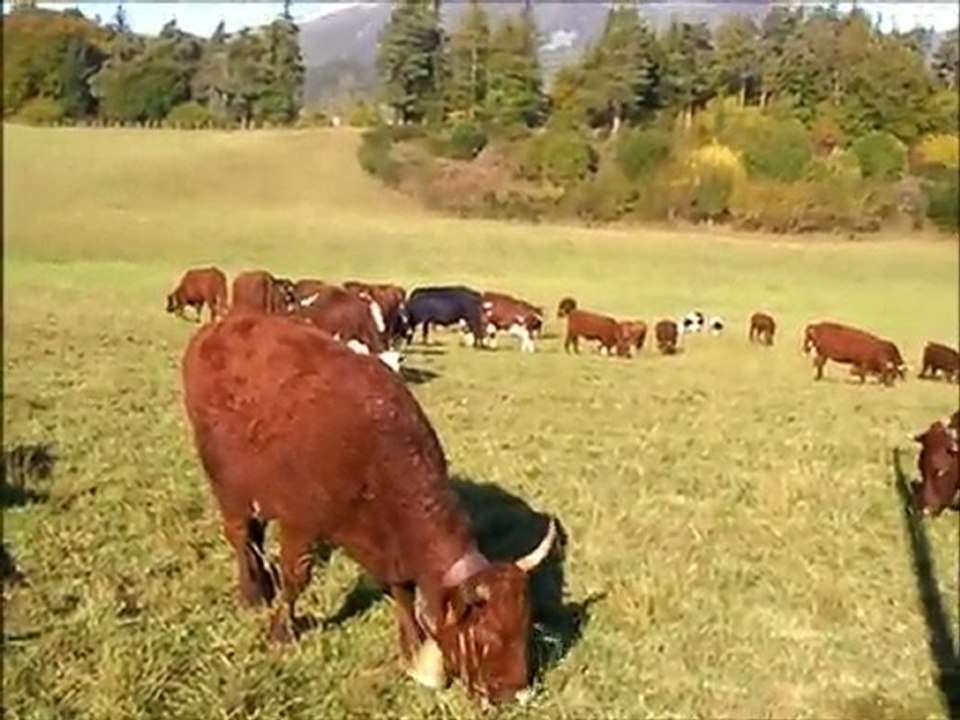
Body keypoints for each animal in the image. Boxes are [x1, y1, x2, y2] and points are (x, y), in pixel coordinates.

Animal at [180, 313, 558, 705]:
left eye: (524, 628)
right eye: (490, 636)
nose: (520, 695)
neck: (377, 454)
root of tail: (217, 329)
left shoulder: (388, 547)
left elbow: (402, 591)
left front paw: (413, 649)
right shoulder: (300, 525)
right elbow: (296, 579)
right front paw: (282, 630)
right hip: (225, 484)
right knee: (240, 536)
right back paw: (252, 592)